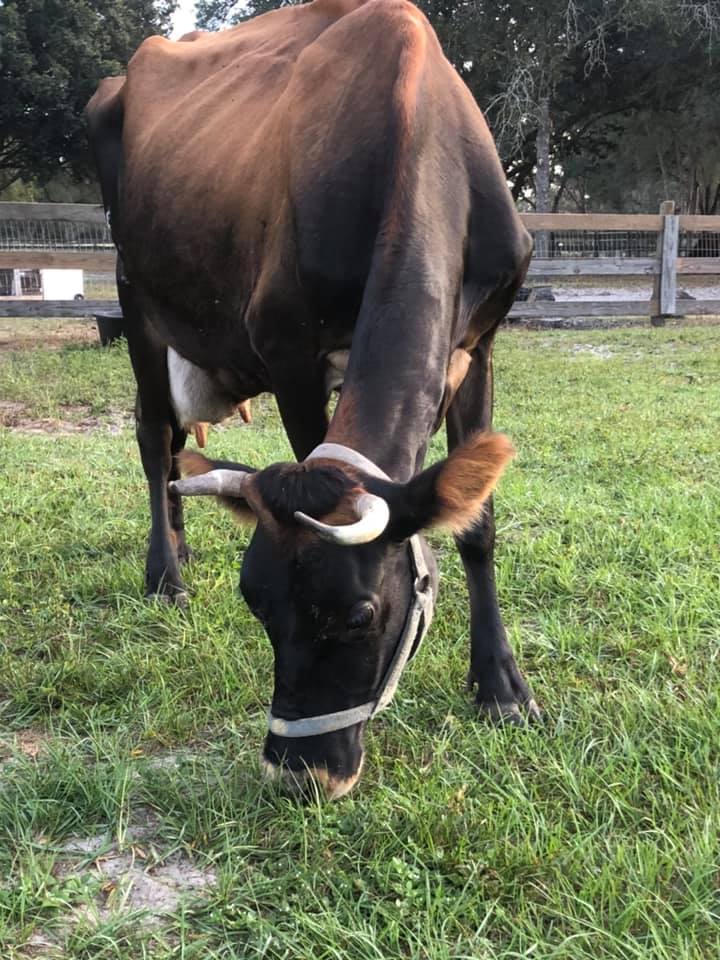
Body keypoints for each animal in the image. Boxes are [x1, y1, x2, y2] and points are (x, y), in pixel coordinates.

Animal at [87, 0, 535, 800]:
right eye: (257, 605)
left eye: (358, 616)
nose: (300, 774)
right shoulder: (287, 350)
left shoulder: (481, 343)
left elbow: (477, 525)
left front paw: (501, 687)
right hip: (136, 298)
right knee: (152, 437)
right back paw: (166, 574)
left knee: (174, 449)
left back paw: (181, 544)